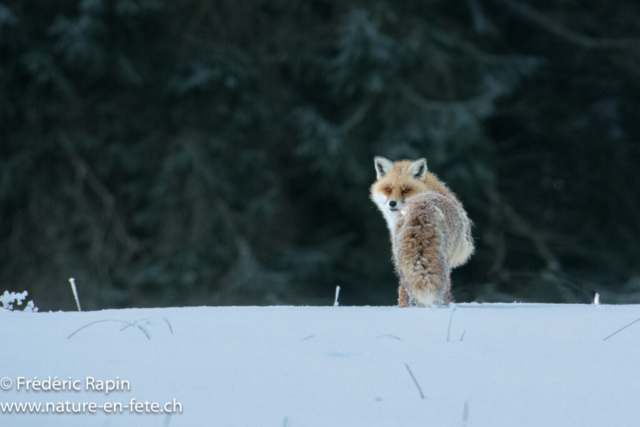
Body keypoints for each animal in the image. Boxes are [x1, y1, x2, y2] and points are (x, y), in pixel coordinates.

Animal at [370, 156, 474, 307]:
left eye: (406, 190)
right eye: (388, 189)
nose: (392, 203)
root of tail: (421, 212)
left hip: (401, 257)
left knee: (405, 287)